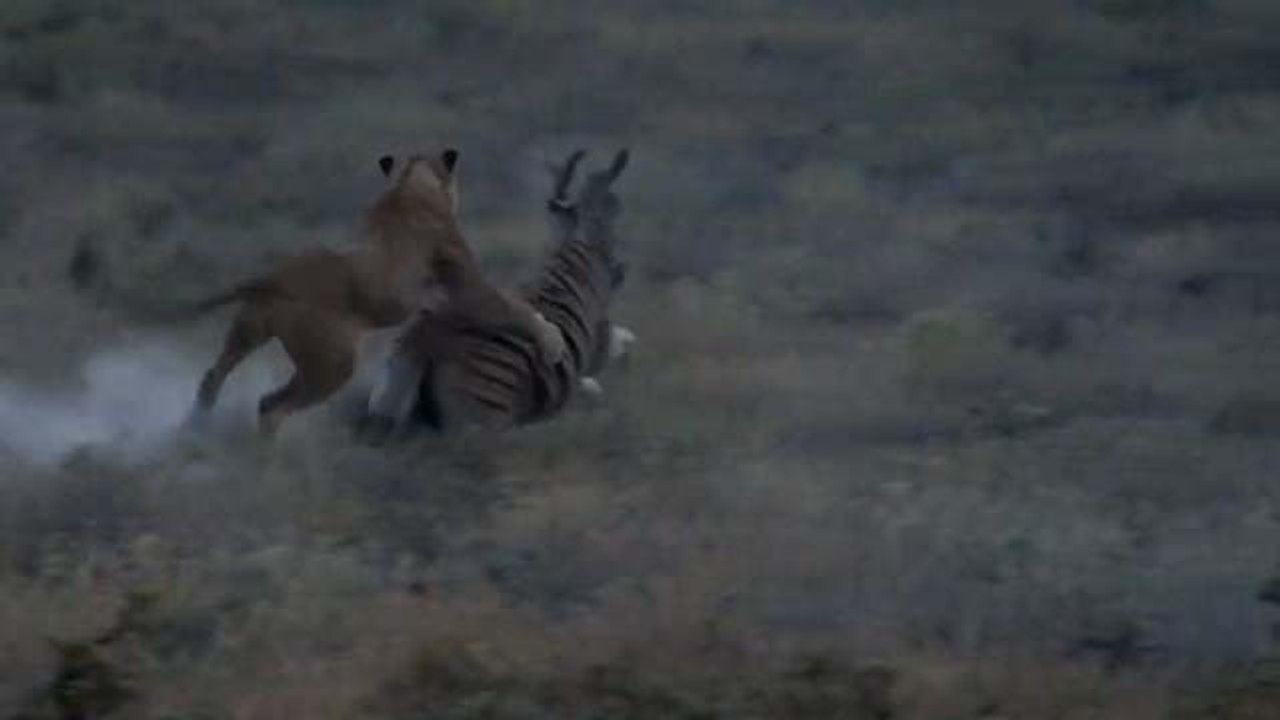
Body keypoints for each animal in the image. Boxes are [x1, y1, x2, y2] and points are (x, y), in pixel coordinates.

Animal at [360, 148, 633, 439]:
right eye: (613, 210)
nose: (620, 271)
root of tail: (422, 344)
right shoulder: (597, 344)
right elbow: (608, 355)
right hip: (481, 422)